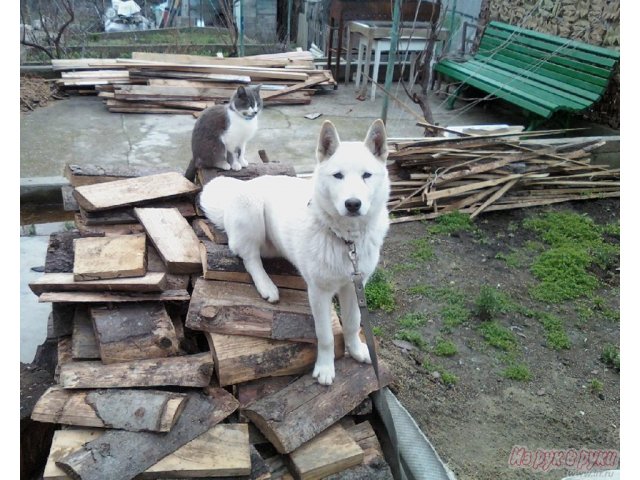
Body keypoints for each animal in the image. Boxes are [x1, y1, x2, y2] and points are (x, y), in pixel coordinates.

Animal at [200, 120, 390, 386]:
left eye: (366, 176)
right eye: (338, 175)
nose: (353, 204)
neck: (345, 239)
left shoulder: (354, 287)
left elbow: (353, 323)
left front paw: (356, 350)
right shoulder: (319, 293)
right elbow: (325, 335)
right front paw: (325, 368)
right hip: (251, 211)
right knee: (249, 257)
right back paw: (267, 286)